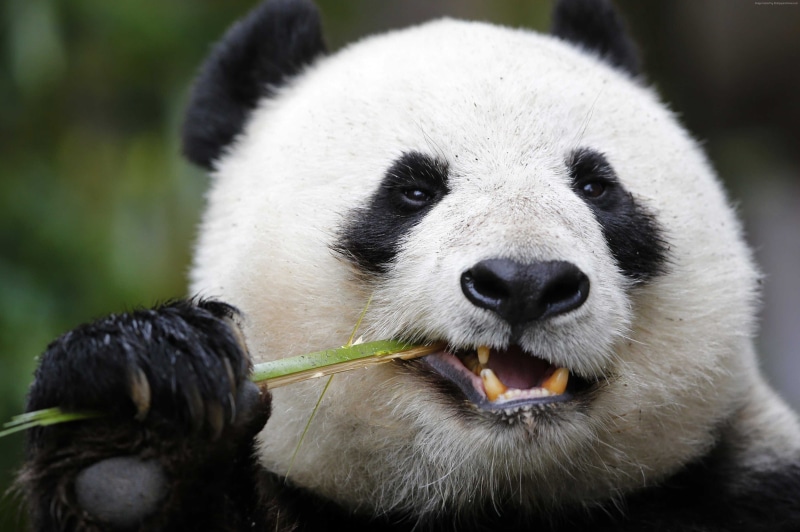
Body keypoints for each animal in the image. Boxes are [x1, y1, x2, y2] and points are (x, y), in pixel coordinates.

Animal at [19, 0, 800, 530]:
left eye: (596, 187)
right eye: (413, 191)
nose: (525, 283)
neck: (493, 495)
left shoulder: (744, 484)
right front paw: (139, 430)